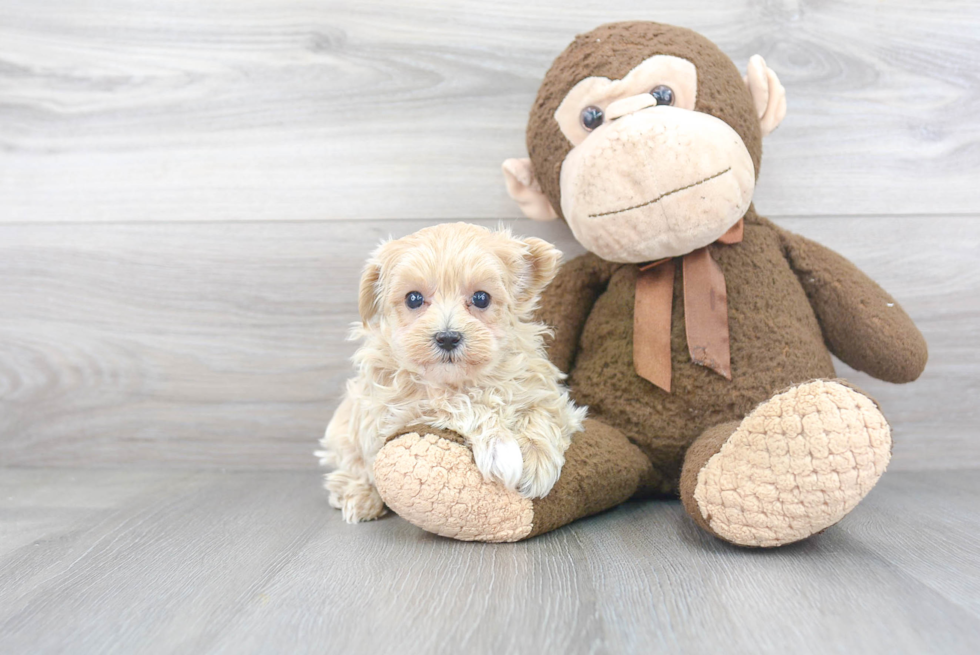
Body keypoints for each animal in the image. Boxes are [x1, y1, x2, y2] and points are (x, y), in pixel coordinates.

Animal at [318, 224, 584, 524]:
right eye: (413, 299)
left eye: (481, 298)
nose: (447, 338)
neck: (461, 379)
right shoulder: (399, 411)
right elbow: (461, 403)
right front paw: (500, 447)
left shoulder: (544, 391)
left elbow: (541, 410)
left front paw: (538, 458)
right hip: (344, 435)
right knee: (354, 468)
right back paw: (358, 496)